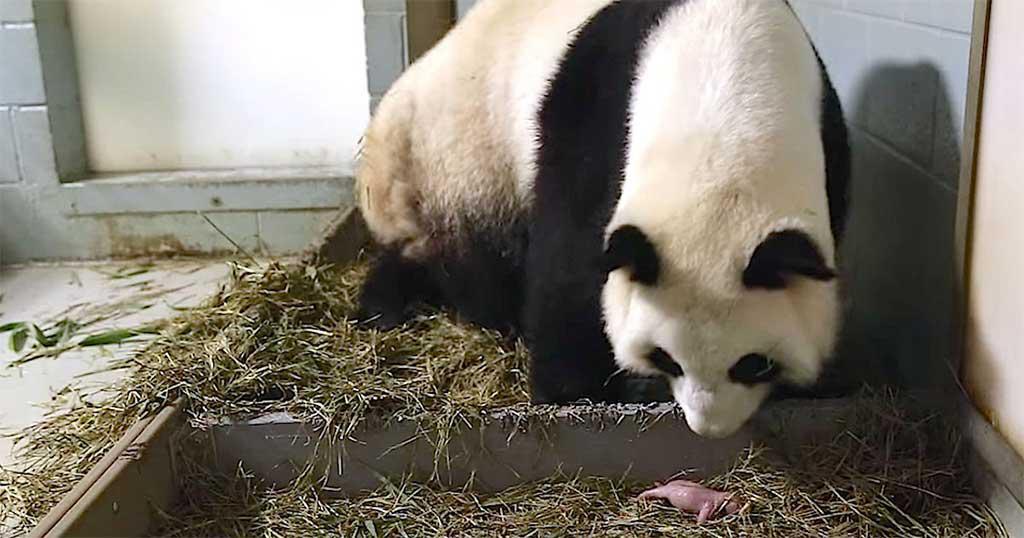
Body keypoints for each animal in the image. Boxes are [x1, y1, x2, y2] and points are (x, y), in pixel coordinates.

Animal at [356, 0, 851, 438]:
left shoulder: (829, 133)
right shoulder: (593, 118)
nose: (710, 428)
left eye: (752, 363)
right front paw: (574, 389)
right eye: (665, 358)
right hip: (466, 161)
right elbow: (571, 263)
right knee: (473, 261)